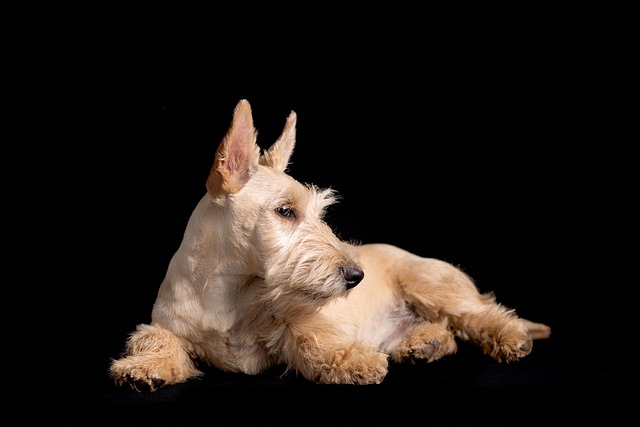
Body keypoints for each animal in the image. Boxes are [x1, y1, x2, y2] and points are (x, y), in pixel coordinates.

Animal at [109, 99, 552, 392]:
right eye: (285, 211)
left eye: (319, 213)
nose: (356, 275)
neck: (227, 291)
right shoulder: (169, 325)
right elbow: (159, 338)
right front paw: (145, 366)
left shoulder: (299, 316)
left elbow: (313, 337)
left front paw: (353, 360)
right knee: (445, 330)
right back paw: (424, 344)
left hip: (432, 286)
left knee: (482, 314)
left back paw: (509, 337)